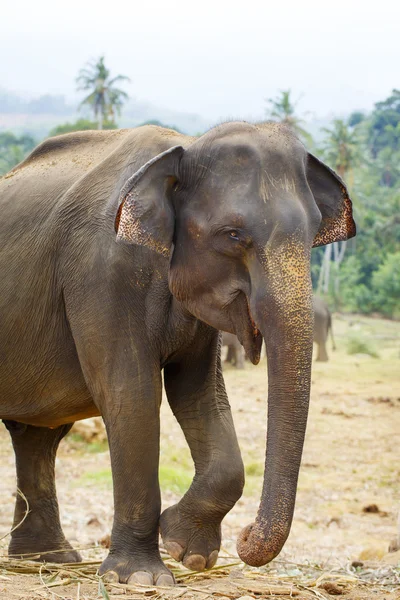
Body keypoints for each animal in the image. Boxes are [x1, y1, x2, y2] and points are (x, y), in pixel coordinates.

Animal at [0, 119, 356, 584]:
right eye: (233, 235)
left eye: (314, 233)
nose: (245, 536)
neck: (185, 146)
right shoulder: (102, 271)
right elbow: (132, 393)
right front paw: (140, 577)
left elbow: (199, 395)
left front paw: (188, 552)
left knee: (37, 435)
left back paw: (48, 560)